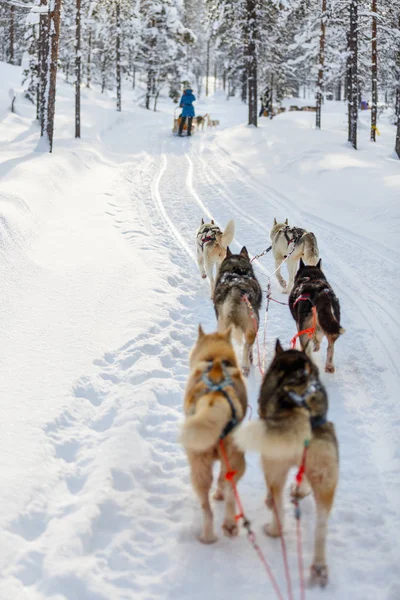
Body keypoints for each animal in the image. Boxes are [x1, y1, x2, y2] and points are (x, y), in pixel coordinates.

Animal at [180, 326, 247, 548]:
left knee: (210, 505)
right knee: (227, 493)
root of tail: (214, 398)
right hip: (231, 462)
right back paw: (227, 526)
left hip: (200, 468)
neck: (215, 357)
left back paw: (209, 535)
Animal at [212, 246, 262, 378]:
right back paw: (245, 366)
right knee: (246, 347)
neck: (236, 270)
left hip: (222, 327)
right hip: (253, 327)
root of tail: (235, 289)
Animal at [236, 340, 340, 588]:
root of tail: (303, 417)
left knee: (278, 508)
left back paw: (272, 527)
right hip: (325, 478)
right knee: (321, 528)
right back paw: (319, 568)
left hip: (273, 465)